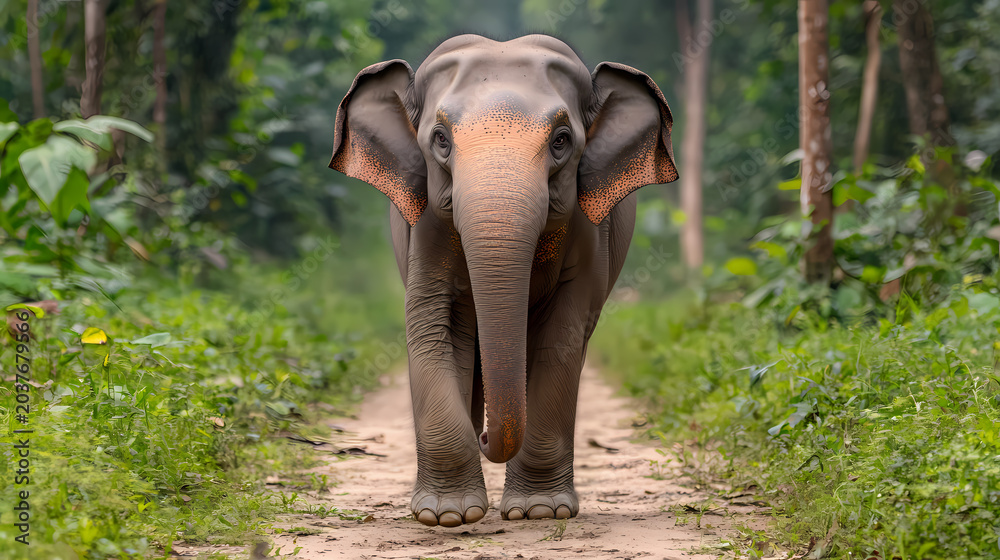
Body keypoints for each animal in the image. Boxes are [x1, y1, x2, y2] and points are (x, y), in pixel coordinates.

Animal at [329, 34, 678, 527]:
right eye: (440, 139)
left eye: (561, 141)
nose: (486, 440)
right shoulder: (426, 225)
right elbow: (431, 322)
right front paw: (447, 515)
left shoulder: (589, 230)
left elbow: (562, 336)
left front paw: (540, 511)